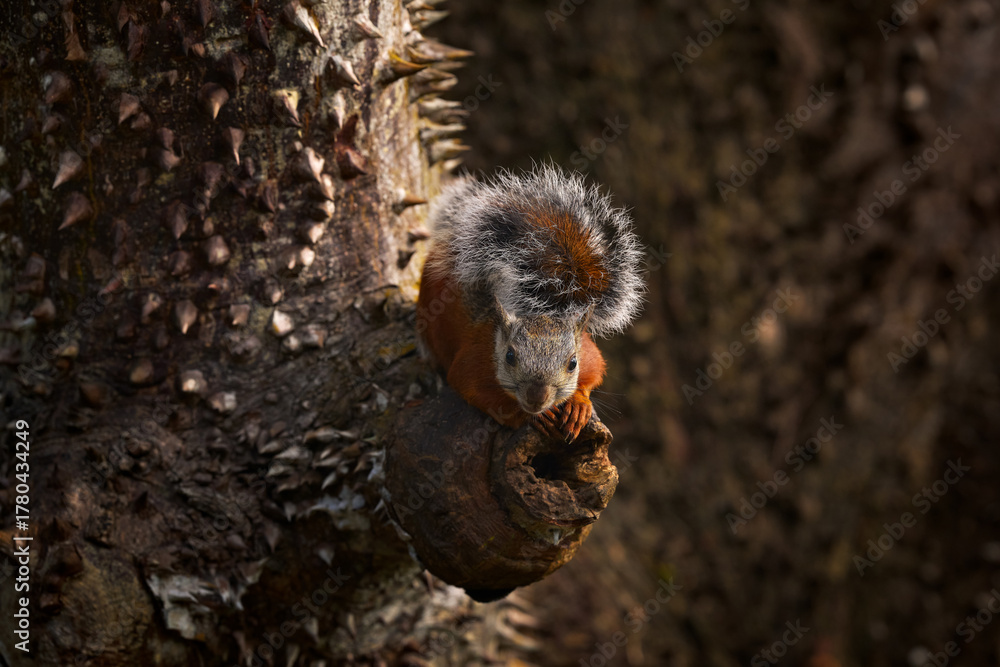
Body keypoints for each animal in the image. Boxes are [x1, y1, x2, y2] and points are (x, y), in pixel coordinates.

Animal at [416, 165, 644, 442]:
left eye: (573, 363)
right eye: (510, 356)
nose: (537, 399)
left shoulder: (589, 353)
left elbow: (595, 372)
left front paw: (578, 404)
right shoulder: (472, 366)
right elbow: (480, 394)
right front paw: (532, 417)